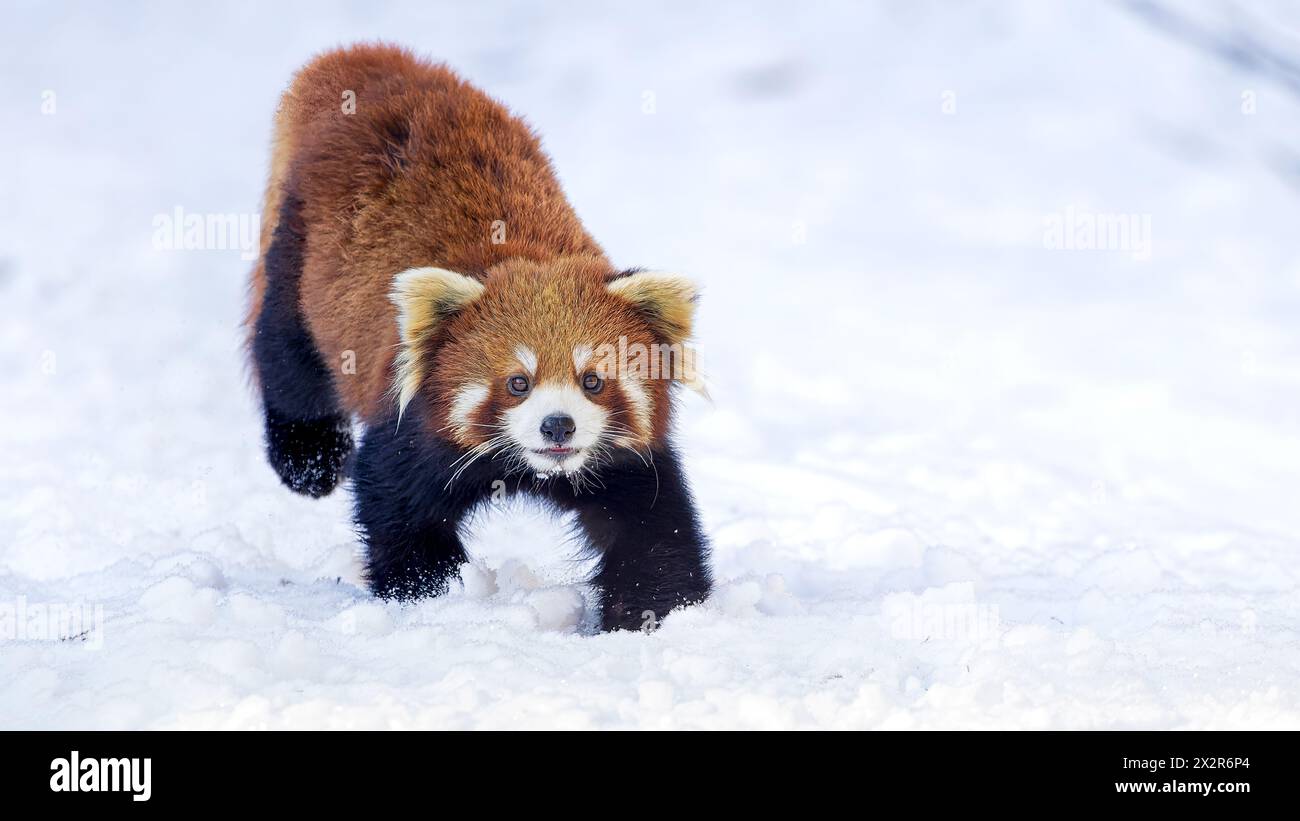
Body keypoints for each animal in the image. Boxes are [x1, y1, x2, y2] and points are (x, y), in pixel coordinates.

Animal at [244, 44, 712, 631]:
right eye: (517, 382)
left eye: (593, 381)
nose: (557, 425)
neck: (529, 469)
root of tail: (379, 63)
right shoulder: (412, 427)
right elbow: (399, 516)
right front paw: (430, 598)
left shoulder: (626, 462)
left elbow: (655, 532)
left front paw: (650, 619)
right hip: (300, 251)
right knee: (289, 358)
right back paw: (310, 463)